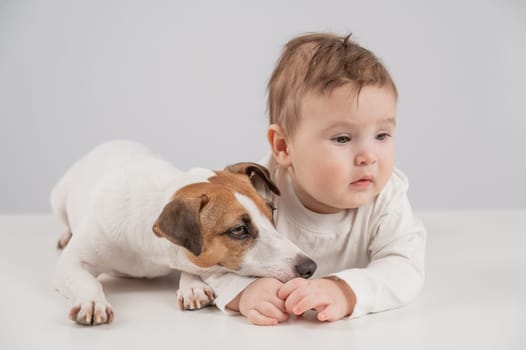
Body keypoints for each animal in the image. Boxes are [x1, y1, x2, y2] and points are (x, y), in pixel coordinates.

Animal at [51, 139, 318, 326]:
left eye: (271, 212)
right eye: (239, 230)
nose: (310, 267)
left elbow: (191, 268)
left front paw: (192, 286)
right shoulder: (74, 260)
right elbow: (83, 278)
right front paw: (91, 301)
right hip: (58, 197)